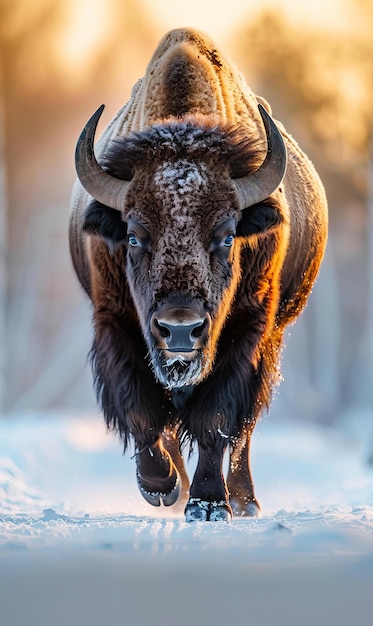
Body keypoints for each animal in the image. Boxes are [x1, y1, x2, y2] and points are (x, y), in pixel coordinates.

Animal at [69, 26, 326, 520]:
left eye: (227, 236)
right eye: (134, 236)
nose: (180, 329)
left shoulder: (248, 330)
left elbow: (217, 419)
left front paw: (208, 503)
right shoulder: (115, 322)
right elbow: (141, 409)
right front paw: (162, 486)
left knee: (243, 430)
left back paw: (244, 500)